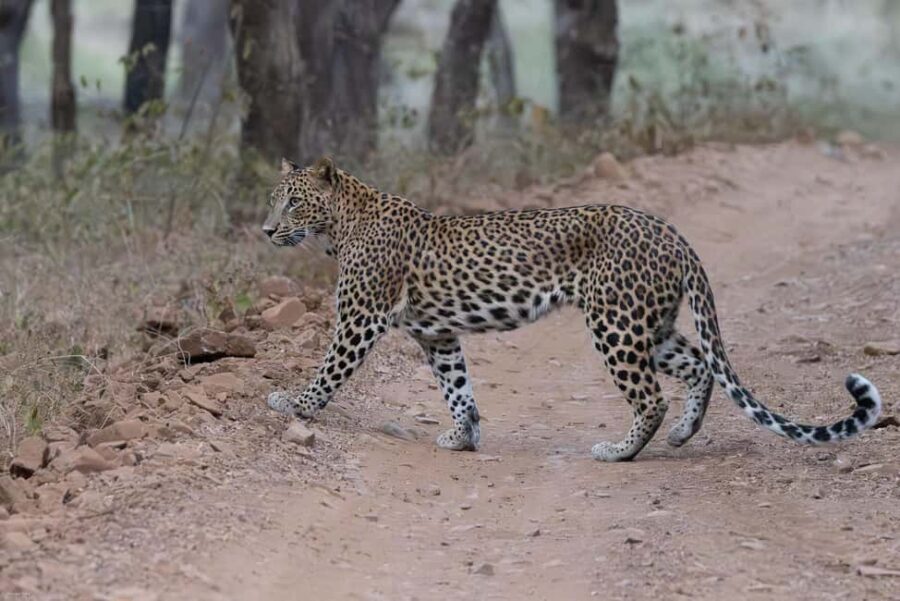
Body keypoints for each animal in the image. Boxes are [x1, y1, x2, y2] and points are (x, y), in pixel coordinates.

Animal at [262, 156, 882, 462]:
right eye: (274, 200)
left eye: (292, 201)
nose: (266, 229)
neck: (338, 226)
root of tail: (671, 232)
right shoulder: (437, 336)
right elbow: (457, 387)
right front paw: (463, 437)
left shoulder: (360, 317)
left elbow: (328, 369)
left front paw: (295, 403)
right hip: (651, 325)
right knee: (700, 368)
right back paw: (684, 435)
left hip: (615, 321)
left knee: (651, 396)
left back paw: (619, 452)